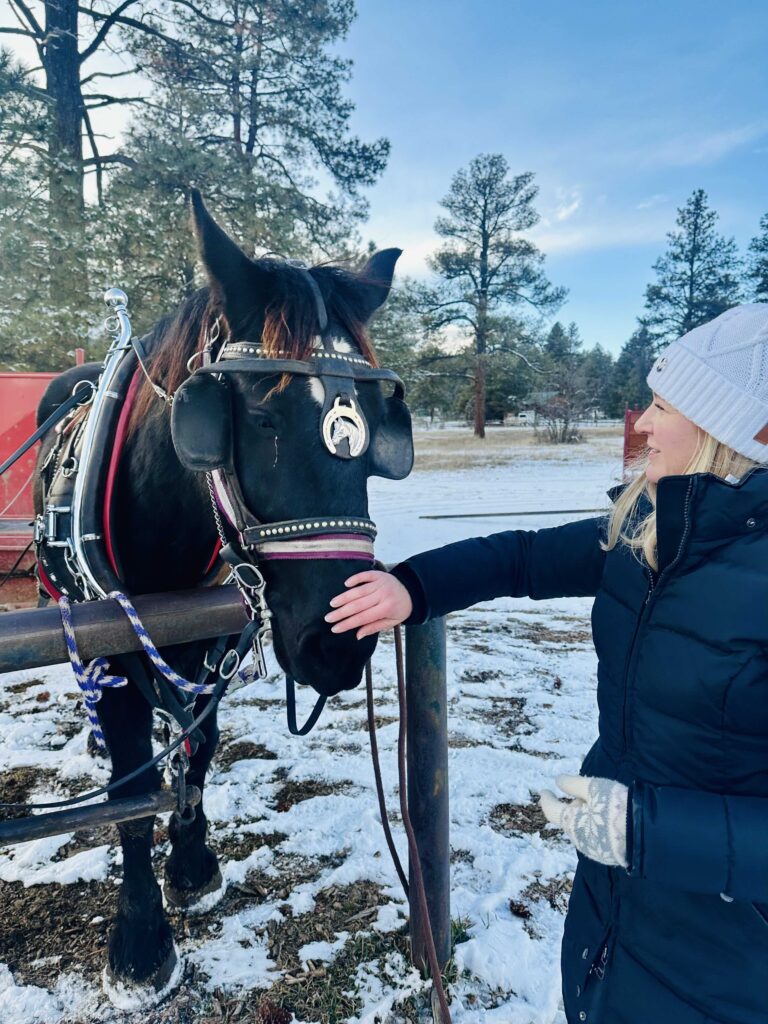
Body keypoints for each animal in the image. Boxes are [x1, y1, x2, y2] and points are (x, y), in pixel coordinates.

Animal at [31, 191, 407, 1004]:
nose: (338, 646)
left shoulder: (215, 639)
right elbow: (132, 792)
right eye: (259, 418)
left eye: (380, 429)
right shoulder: (115, 648)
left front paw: (194, 862)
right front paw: (141, 945)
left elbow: (198, 747)